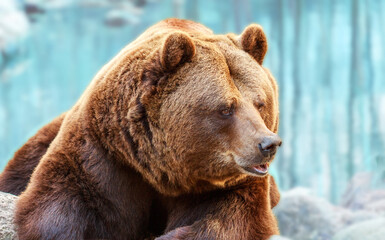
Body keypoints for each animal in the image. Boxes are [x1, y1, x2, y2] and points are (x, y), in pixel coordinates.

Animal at [0, 19, 282, 240]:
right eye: (226, 108)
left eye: (260, 103)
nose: (268, 144)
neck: (163, 170)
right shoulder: (106, 153)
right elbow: (64, 201)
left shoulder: (227, 186)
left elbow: (227, 220)